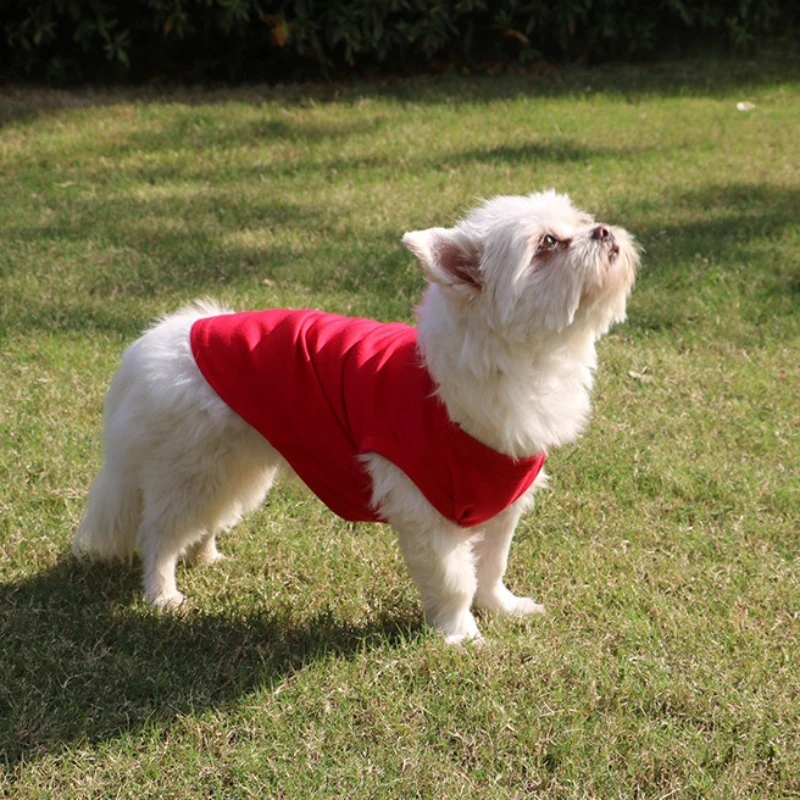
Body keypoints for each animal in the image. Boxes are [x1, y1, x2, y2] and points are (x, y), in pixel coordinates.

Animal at [73, 190, 639, 644]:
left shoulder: (500, 503)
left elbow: (491, 567)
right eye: (547, 243)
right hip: (191, 473)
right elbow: (455, 579)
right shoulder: (426, 509)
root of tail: (159, 340)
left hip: (236, 472)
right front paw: (461, 636)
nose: (604, 230)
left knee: (202, 522)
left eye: (580, 221)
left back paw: (206, 557)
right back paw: (162, 594)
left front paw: (501, 609)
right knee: (158, 535)